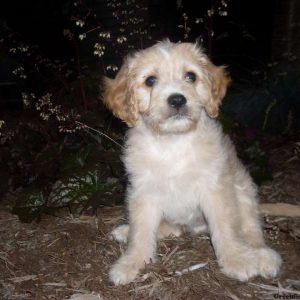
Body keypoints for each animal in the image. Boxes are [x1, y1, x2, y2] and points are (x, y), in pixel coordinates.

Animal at [102, 40, 282, 286]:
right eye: (150, 81)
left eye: (191, 76)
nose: (177, 99)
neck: (174, 143)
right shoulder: (143, 192)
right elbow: (141, 232)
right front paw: (133, 262)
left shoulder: (215, 189)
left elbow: (225, 227)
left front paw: (236, 260)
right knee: (170, 229)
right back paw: (126, 231)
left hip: (243, 189)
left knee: (250, 228)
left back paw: (262, 255)